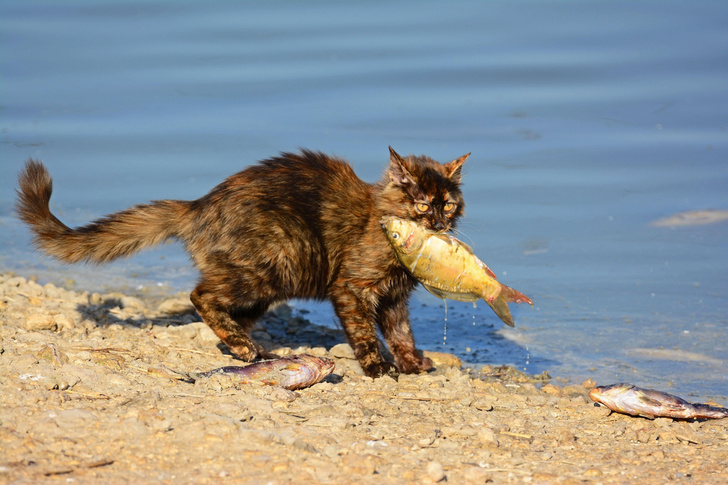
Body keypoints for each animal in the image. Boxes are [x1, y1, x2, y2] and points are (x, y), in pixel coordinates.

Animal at [18, 147, 472, 378]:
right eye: (420, 204)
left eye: (448, 204)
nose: (437, 222)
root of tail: (198, 205)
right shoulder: (352, 287)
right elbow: (366, 332)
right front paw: (378, 366)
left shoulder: (395, 299)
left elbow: (402, 332)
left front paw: (413, 363)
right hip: (276, 262)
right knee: (200, 295)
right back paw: (245, 347)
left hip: (266, 282)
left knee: (221, 308)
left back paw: (246, 347)